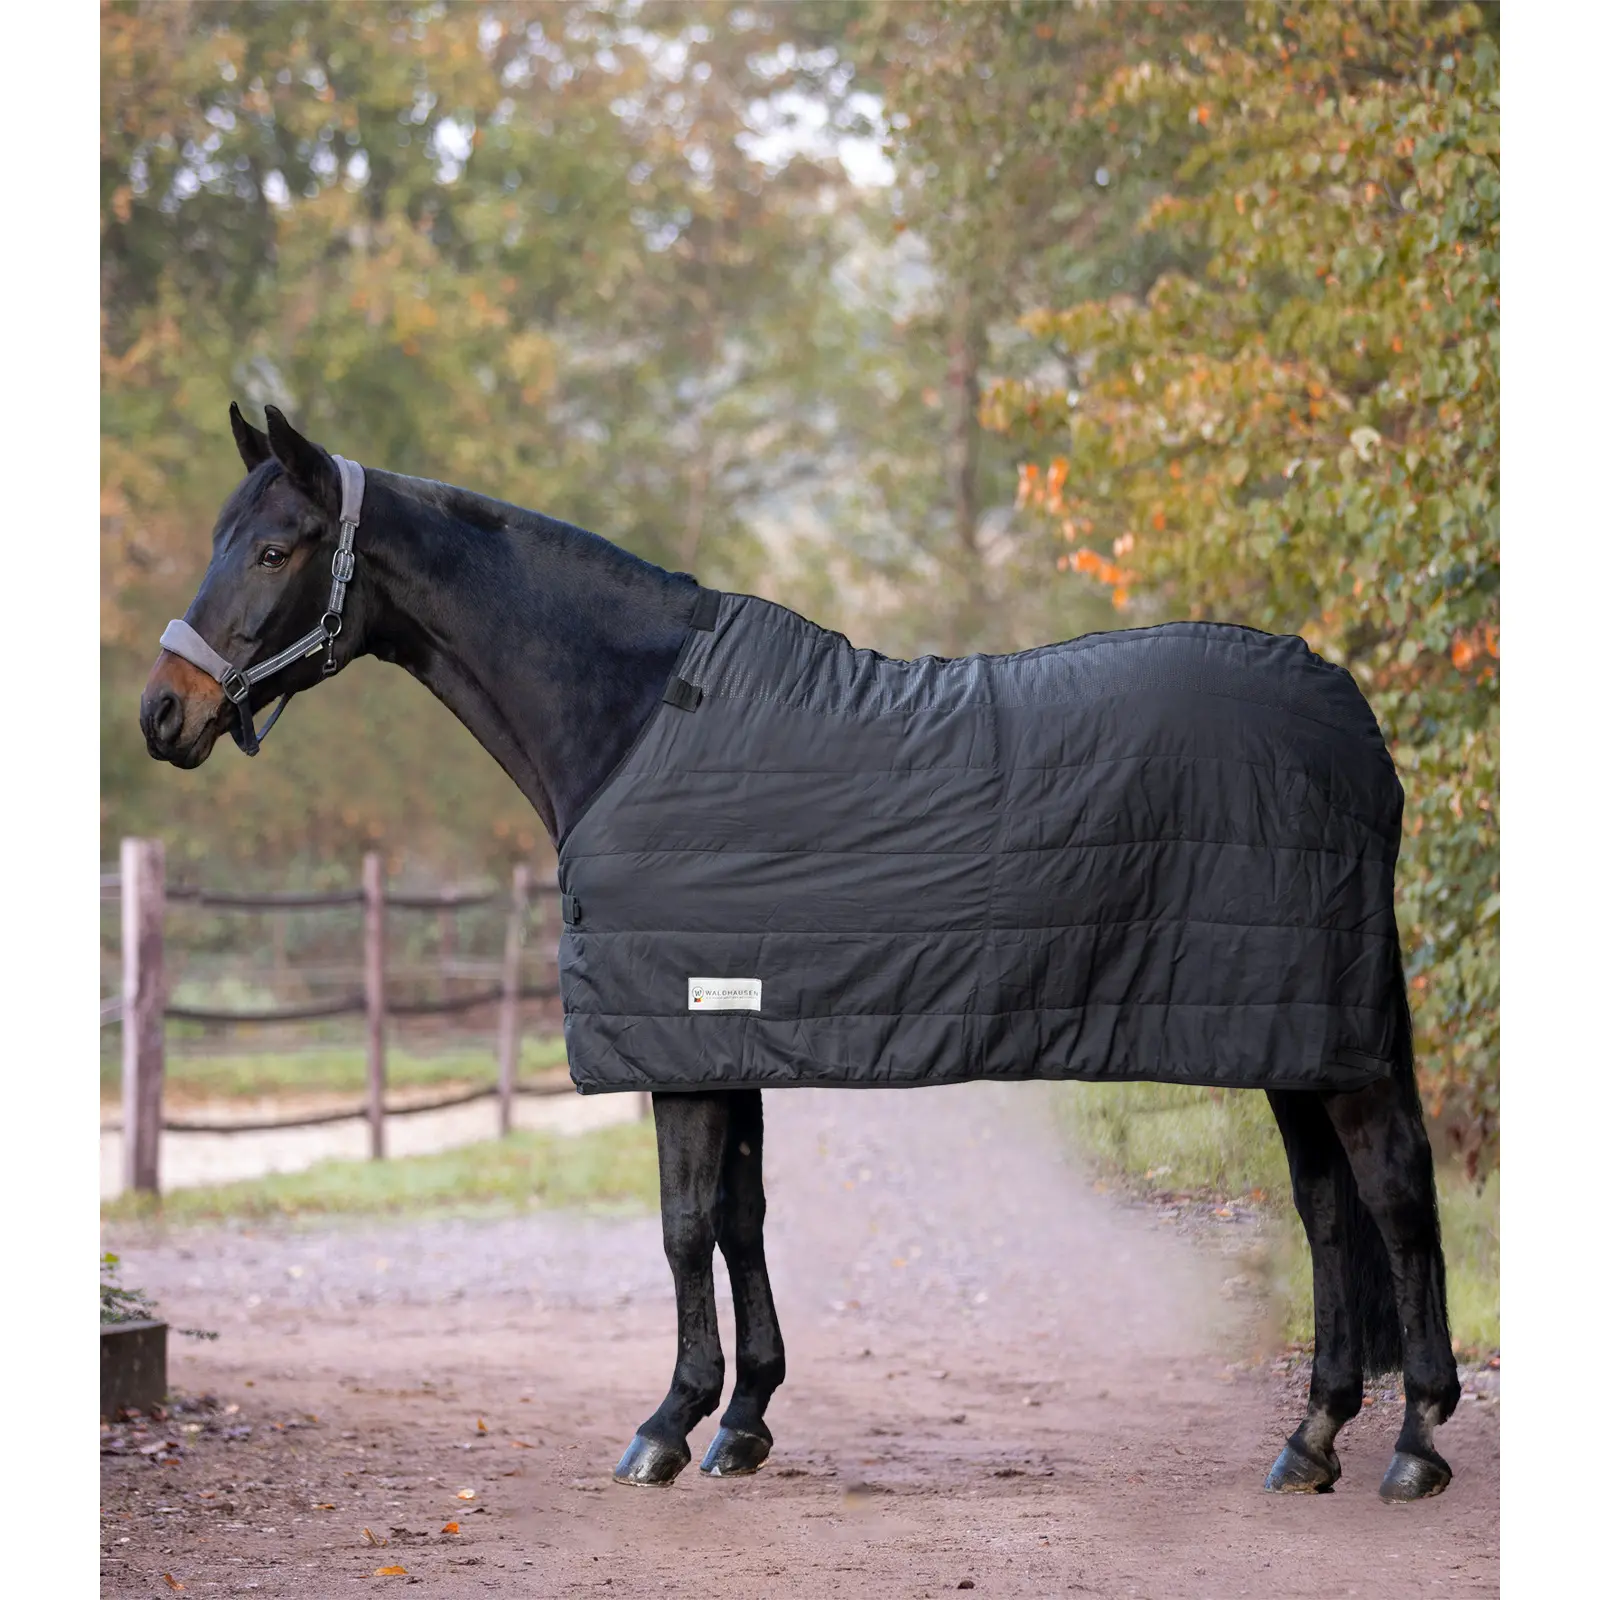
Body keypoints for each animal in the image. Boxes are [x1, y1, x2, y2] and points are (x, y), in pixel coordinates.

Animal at [139, 405, 1460, 1501]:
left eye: (277, 549)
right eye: (220, 536)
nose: (164, 713)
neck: (634, 720)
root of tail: (1349, 715)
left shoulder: (677, 1033)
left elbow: (682, 1225)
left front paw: (666, 1425)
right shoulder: (723, 1031)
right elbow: (741, 1216)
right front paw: (743, 1420)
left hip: (1319, 1036)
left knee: (1391, 1192)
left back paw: (1413, 1444)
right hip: (1290, 1036)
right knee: (1326, 1207)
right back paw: (1312, 1438)